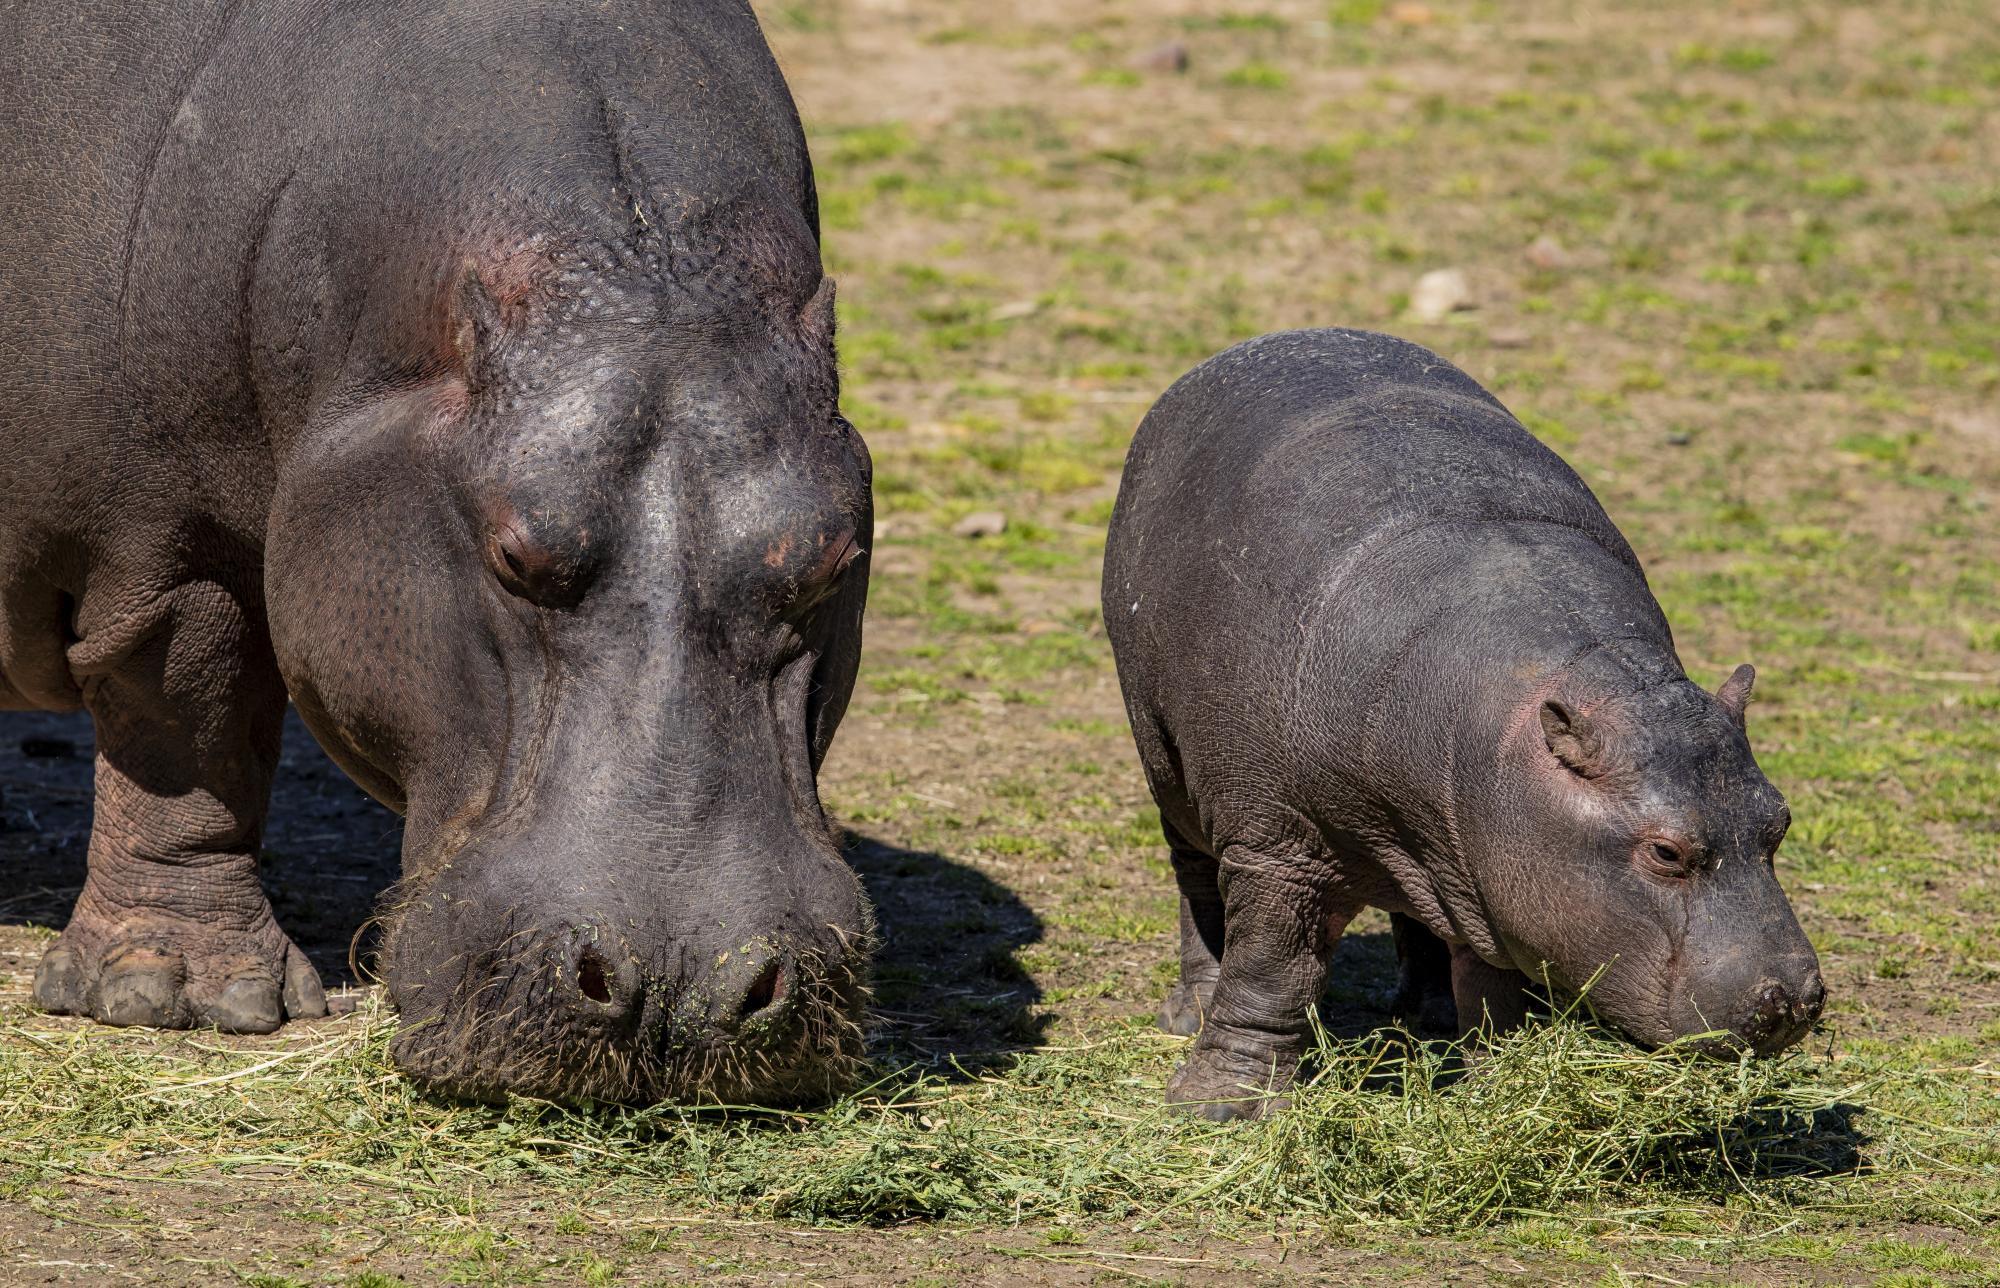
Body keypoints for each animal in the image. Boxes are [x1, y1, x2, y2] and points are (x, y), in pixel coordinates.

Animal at [1, 2, 876, 1104]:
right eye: (512, 558)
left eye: (831, 561)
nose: (681, 987)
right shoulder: (174, 545)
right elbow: (189, 733)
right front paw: (175, 997)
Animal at [1112, 330, 1832, 1120]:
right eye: (1666, 853)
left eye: (1781, 820)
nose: (1794, 1001)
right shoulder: (1278, 847)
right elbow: (1272, 970)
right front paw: (1218, 1106)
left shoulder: (1495, 869)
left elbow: (1495, 989)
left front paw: (1501, 1082)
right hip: (1168, 764)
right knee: (1196, 879)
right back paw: (1189, 1014)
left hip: (1436, 861)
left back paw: (1424, 1015)